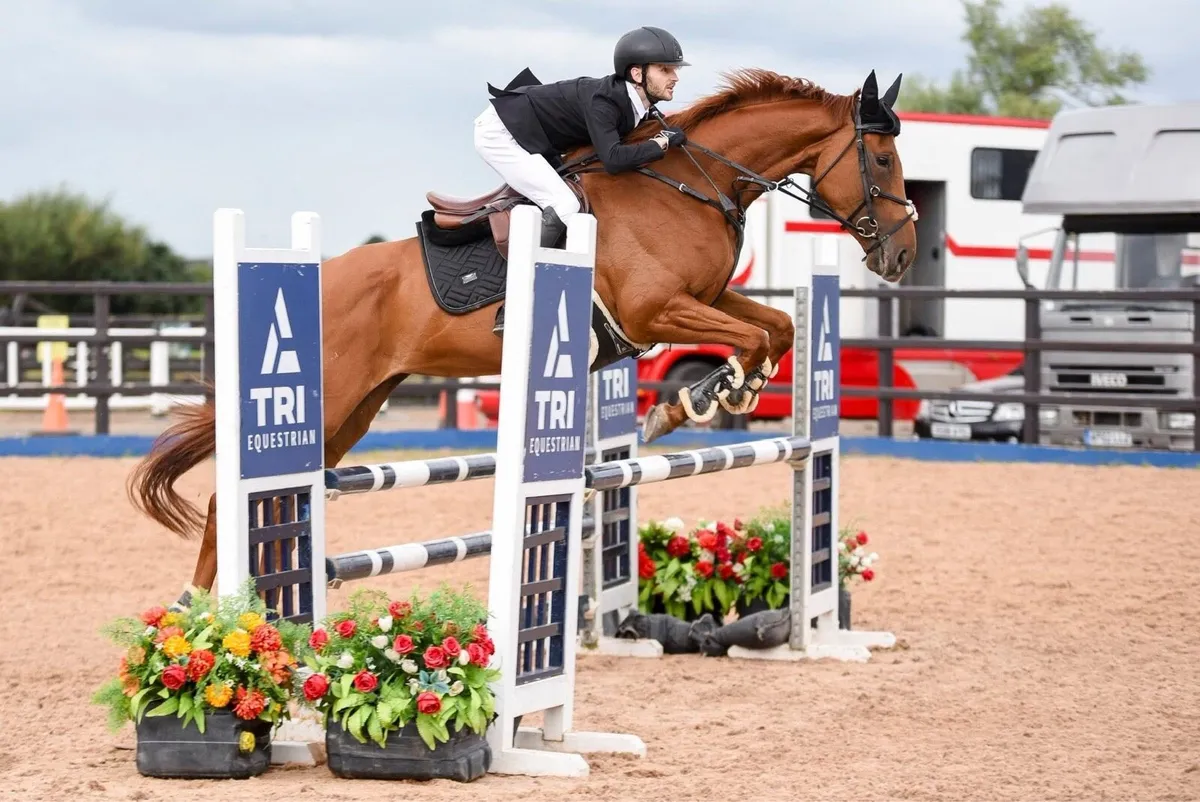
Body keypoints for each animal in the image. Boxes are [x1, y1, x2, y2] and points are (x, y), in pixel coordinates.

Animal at [127, 67, 917, 609]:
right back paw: (196, 617)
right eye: (881, 161)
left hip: (356, 407)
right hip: (336, 392)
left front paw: (719, 394)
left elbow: (774, 327)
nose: (903, 256)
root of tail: (313, 276)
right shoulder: (656, 310)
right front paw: (693, 402)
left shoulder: (703, 297)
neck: (685, 185)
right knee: (228, 506)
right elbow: (746, 339)